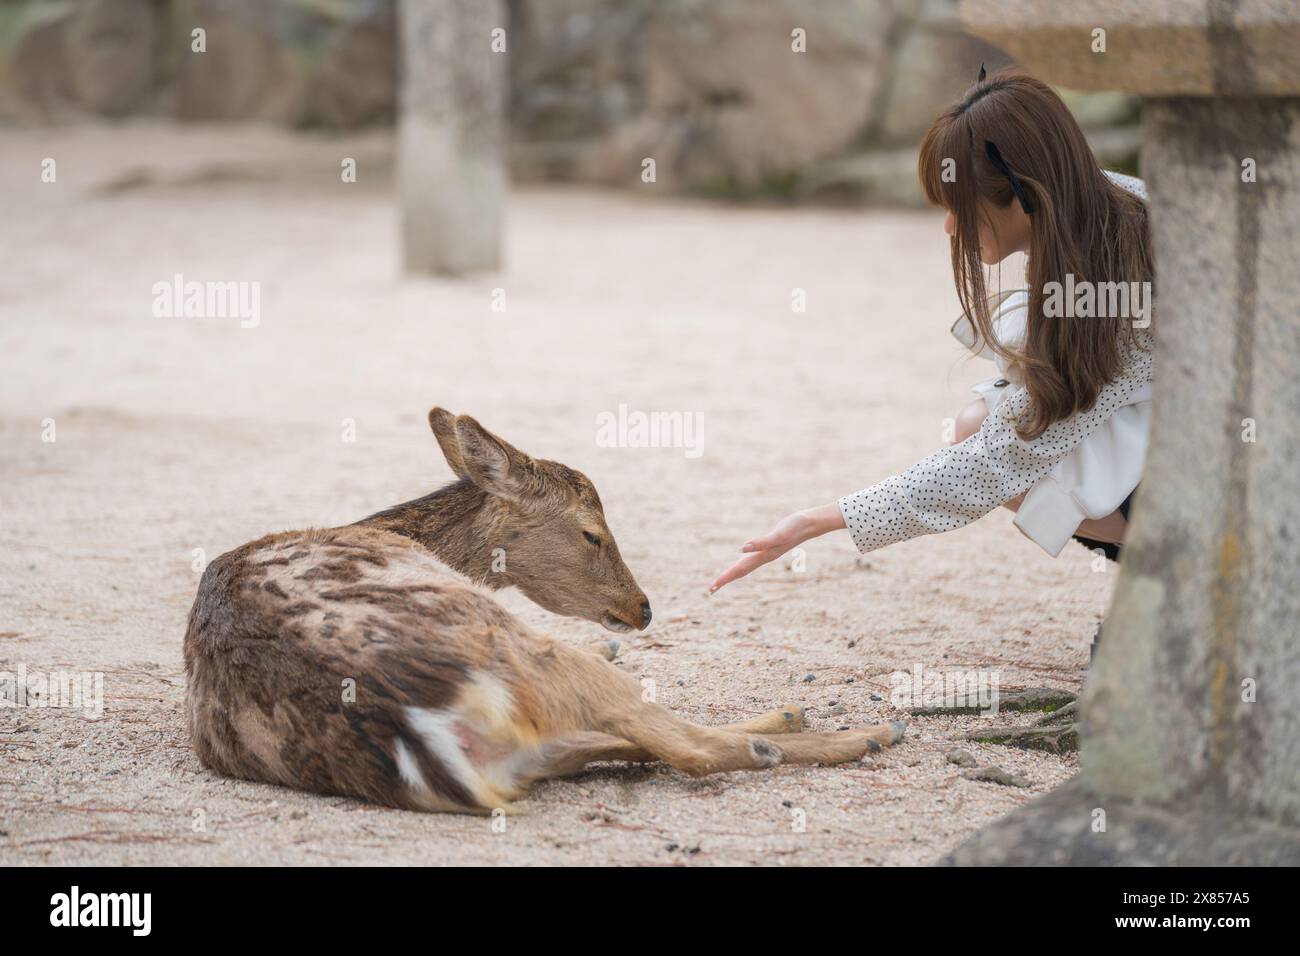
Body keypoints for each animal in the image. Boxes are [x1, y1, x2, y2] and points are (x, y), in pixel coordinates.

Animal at [185, 408, 904, 816]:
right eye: (592, 532)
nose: (642, 608)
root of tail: (414, 727)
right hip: (526, 646)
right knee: (685, 746)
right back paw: (853, 732)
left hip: (522, 739)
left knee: (607, 741)